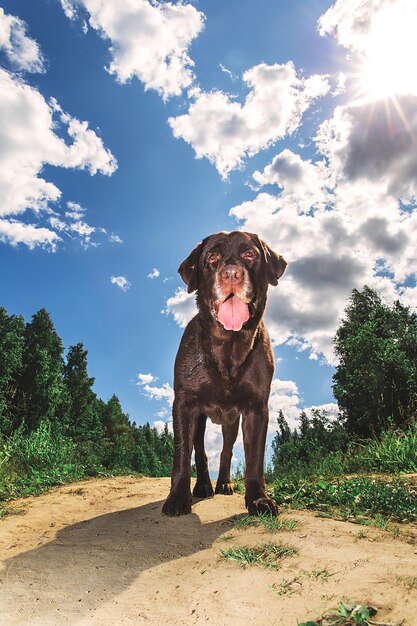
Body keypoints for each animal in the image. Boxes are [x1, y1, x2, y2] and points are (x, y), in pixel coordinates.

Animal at [162, 232, 286, 516]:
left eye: (250, 254)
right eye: (212, 257)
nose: (231, 274)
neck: (229, 347)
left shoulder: (256, 408)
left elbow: (254, 460)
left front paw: (258, 499)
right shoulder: (184, 404)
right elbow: (182, 455)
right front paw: (177, 497)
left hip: (231, 422)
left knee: (226, 451)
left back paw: (224, 483)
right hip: (199, 420)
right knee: (200, 452)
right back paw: (203, 485)